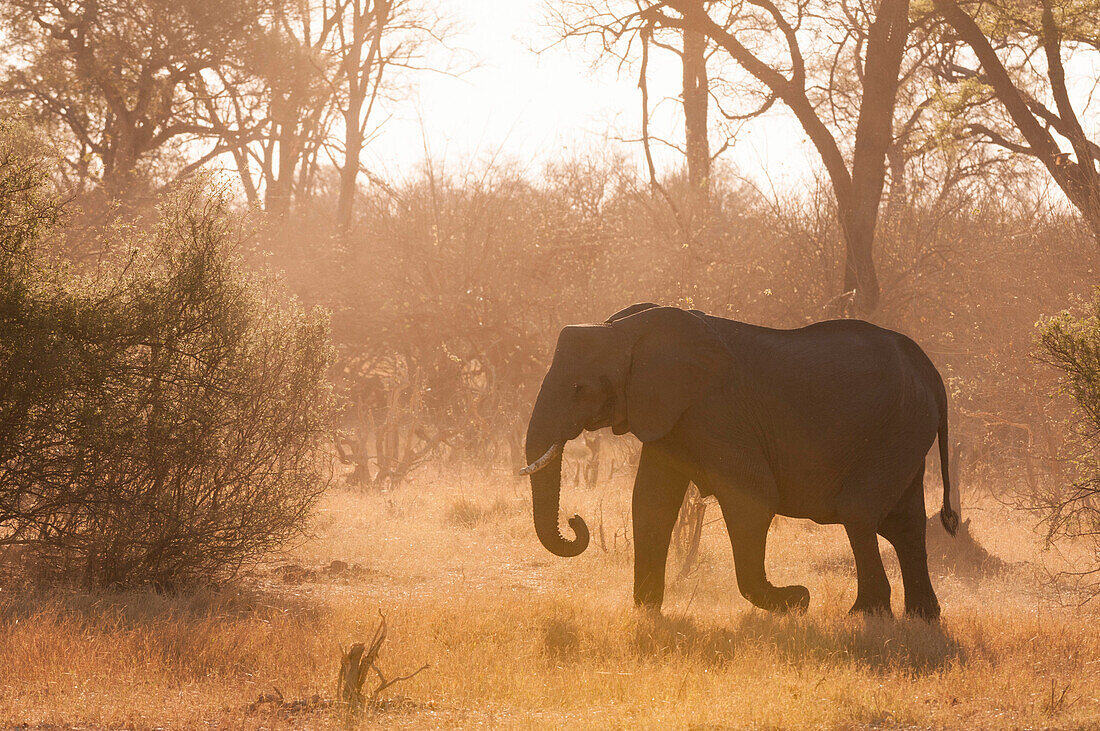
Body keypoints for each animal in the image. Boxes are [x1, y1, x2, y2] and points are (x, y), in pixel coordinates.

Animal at [519, 305, 959, 619]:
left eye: (579, 388)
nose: (575, 521)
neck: (626, 330)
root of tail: (931, 372)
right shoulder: (669, 415)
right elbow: (651, 502)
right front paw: (647, 613)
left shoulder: (717, 412)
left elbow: (753, 499)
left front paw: (796, 601)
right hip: (906, 430)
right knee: (905, 523)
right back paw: (922, 619)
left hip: (895, 428)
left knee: (859, 513)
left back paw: (865, 616)